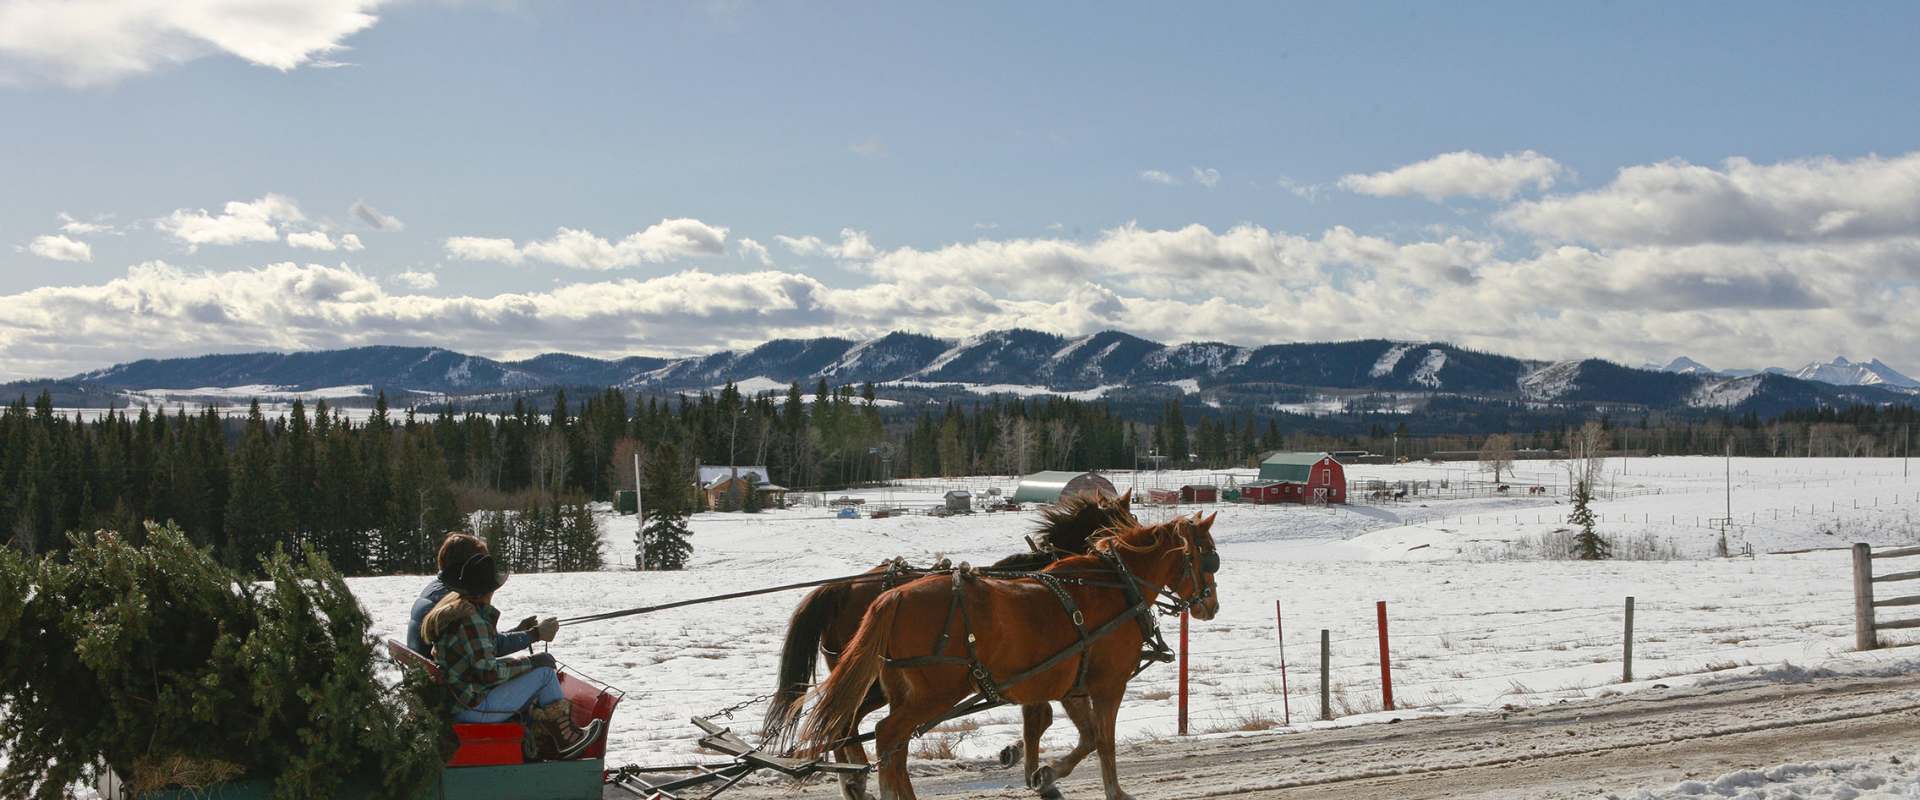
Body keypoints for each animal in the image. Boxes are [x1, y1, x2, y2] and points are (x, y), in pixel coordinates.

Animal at [756, 487, 1128, 790]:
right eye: (1125, 521)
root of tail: (840, 588)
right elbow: (1042, 717)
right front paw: (1027, 762)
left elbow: (1043, 716)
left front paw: (1025, 761)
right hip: (877, 685)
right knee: (847, 724)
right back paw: (856, 777)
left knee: (841, 723)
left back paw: (853, 777)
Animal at [798, 510, 1221, 798]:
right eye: (1207, 557)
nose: (1211, 605)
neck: (1115, 585)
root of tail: (892, 597)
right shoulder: (1108, 685)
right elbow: (1103, 740)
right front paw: (1112, 791)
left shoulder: (1069, 685)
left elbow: (1077, 734)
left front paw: (1044, 774)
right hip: (932, 693)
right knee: (882, 735)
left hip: (903, 692)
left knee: (883, 741)